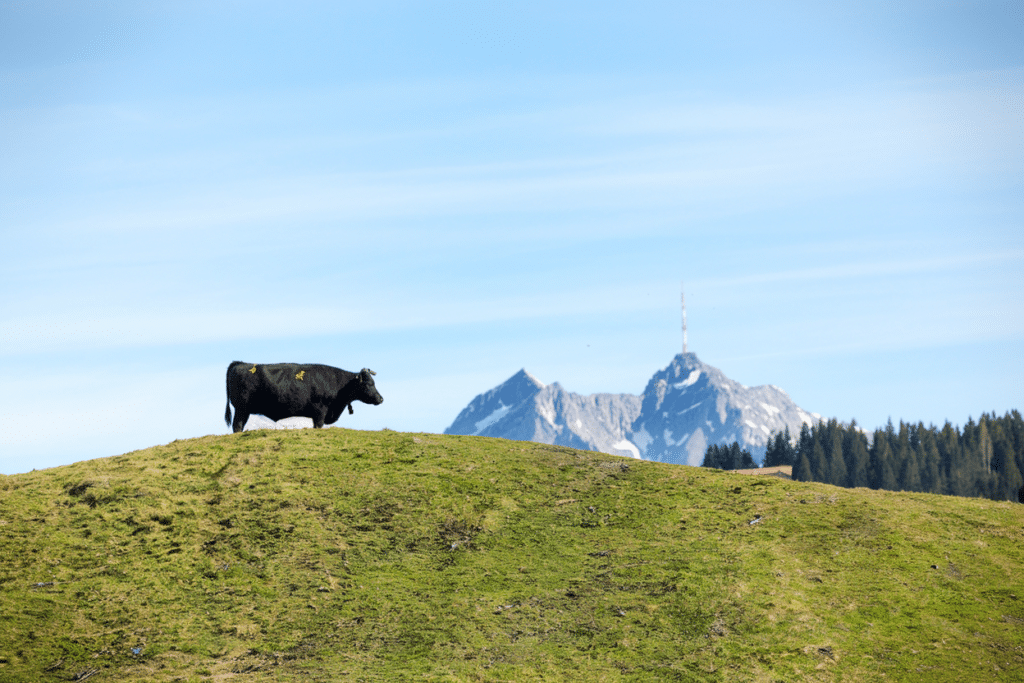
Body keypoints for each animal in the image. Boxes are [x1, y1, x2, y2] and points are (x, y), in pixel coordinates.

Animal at [224, 361, 383, 433]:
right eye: (369, 384)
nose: (381, 399)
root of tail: (240, 363)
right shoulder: (320, 411)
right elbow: (318, 425)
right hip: (241, 409)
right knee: (237, 425)